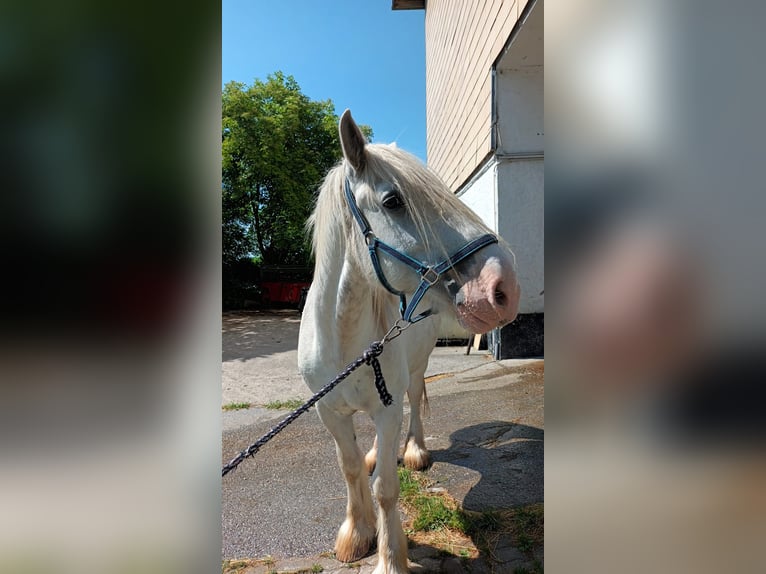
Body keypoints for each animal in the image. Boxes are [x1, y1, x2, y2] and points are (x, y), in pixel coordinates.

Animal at [296, 110, 520, 572]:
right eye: (393, 201)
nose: (504, 285)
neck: (342, 339)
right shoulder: (329, 412)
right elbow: (350, 469)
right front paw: (357, 534)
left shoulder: (387, 407)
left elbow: (385, 487)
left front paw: (390, 557)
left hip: (415, 370)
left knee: (414, 400)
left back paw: (415, 450)